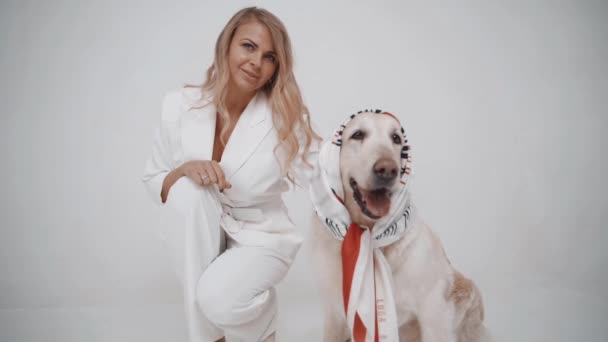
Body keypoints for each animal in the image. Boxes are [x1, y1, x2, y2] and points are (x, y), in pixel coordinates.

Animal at [312, 111, 486, 340]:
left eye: (396, 138)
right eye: (357, 134)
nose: (388, 170)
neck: (368, 233)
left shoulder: (434, 313)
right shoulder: (334, 314)